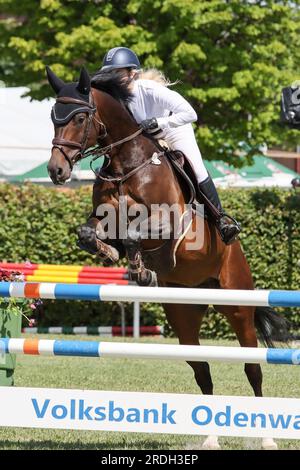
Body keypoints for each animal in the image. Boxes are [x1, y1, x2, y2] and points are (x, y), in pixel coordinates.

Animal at [45, 68, 288, 450]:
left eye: (80, 118)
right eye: (54, 117)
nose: (56, 170)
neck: (127, 165)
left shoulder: (171, 224)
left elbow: (134, 233)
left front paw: (139, 268)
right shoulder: (103, 217)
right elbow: (91, 233)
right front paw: (115, 255)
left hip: (238, 306)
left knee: (253, 368)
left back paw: (266, 439)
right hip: (183, 314)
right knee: (203, 371)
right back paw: (210, 438)